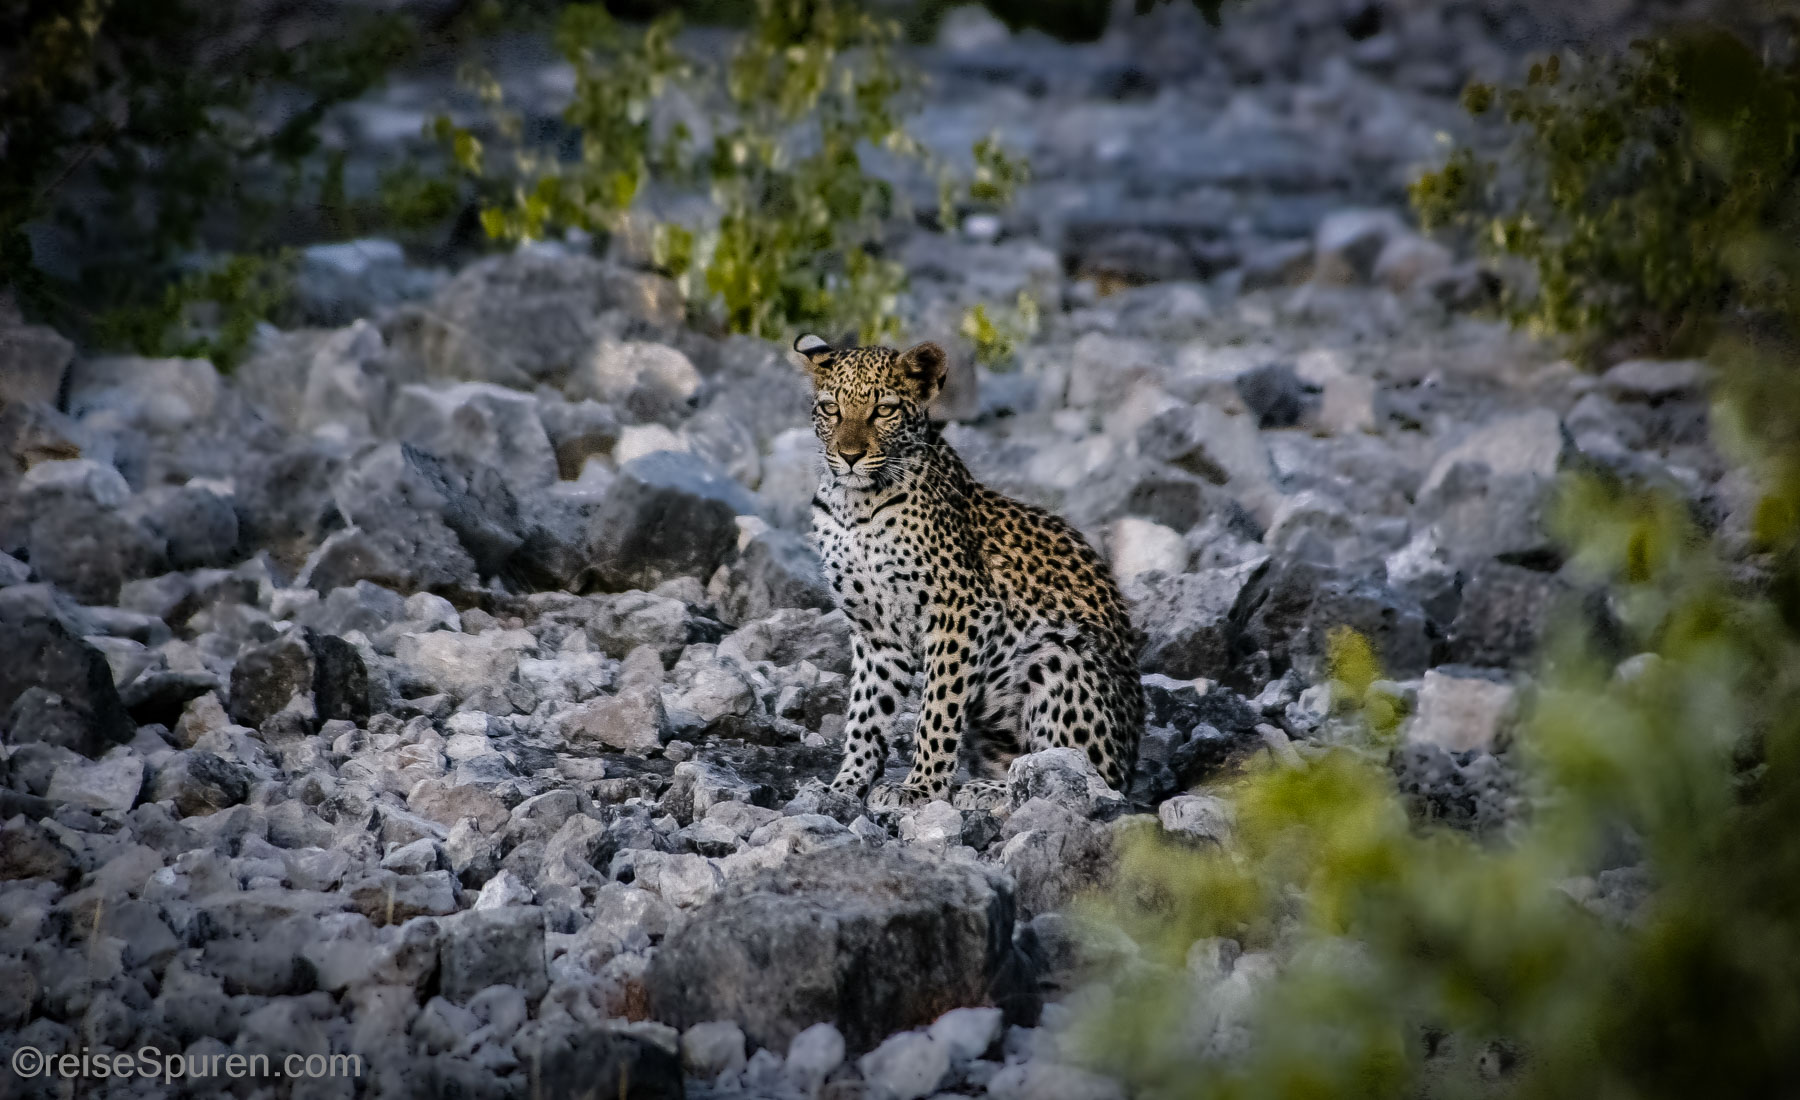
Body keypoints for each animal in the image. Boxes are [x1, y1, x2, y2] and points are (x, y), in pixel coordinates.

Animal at [794, 332, 1145, 811]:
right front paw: (845, 786)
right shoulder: (875, 630)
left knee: (1081, 775)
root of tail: (1131, 763)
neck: (854, 505)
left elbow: (938, 709)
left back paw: (983, 790)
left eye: (883, 410)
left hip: (1060, 653)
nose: (848, 456)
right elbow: (866, 714)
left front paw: (921, 788)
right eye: (831, 408)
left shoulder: (961, 609)